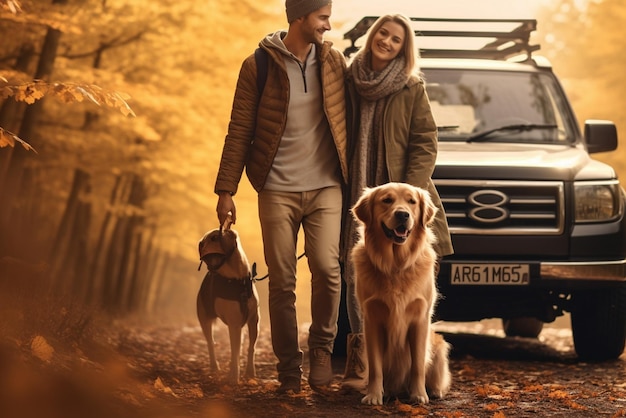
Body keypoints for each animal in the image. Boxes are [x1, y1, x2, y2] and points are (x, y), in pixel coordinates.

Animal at [195, 217, 258, 384]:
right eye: (203, 242)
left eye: (214, 238)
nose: (200, 244)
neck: (238, 280)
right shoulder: (234, 323)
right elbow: (234, 352)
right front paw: (234, 377)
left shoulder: (254, 320)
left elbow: (250, 347)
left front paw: (250, 371)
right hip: (204, 319)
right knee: (211, 343)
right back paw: (215, 367)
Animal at [352, 182, 448, 404]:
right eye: (387, 200)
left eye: (411, 201)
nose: (403, 214)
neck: (395, 265)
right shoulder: (372, 318)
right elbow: (376, 367)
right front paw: (373, 395)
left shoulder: (420, 318)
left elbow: (418, 364)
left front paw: (419, 395)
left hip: (439, 346)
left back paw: (434, 391)